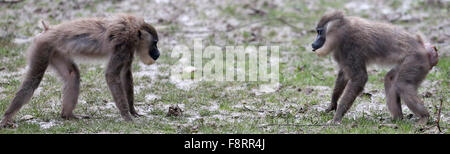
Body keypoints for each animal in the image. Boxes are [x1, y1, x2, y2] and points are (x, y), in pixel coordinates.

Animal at [0, 14, 162, 127]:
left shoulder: (128, 49)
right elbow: (111, 75)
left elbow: (125, 74)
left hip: (55, 51)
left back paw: (68, 115)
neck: (134, 30)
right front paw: (126, 115)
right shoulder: (124, 44)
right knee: (32, 81)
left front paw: (132, 110)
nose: (158, 53)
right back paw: (7, 117)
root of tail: (48, 30)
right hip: (43, 46)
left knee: (73, 74)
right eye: (155, 43)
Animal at [312, 11, 440, 124]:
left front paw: (337, 118)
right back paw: (397, 118)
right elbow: (344, 75)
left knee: (402, 84)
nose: (313, 43)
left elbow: (360, 78)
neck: (343, 29)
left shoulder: (350, 46)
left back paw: (424, 117)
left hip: (416, 60)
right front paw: (333, 104)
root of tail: (423, 47)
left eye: (319, 32)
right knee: (390, 79)